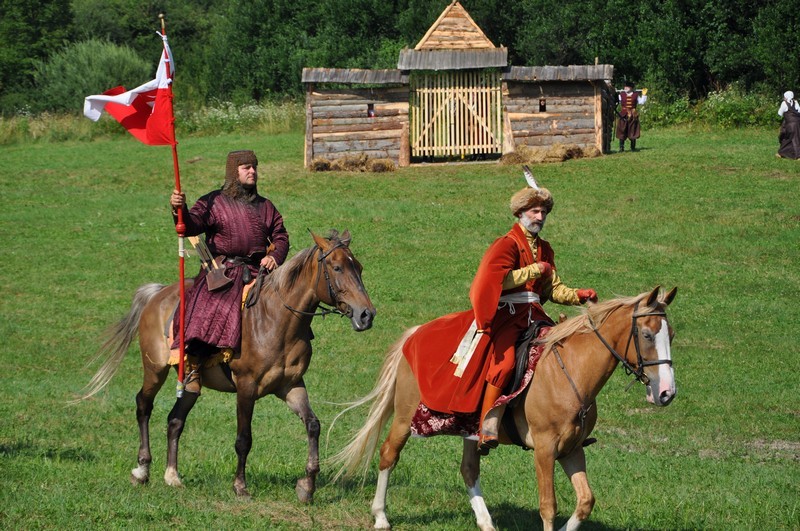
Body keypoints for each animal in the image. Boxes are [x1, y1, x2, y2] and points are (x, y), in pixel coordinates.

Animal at [79, 230, 374, 502]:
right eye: (337, 267)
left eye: (359, 267)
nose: (366, 315)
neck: (276, 320)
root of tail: (158, 294)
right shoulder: (246, 387)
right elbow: (244, 439)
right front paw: (240, 486)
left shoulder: (291, 386)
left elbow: (313, 425)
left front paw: (307, 486)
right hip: (155, 369)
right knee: (143, 405)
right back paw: (142, 470)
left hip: (191, 381)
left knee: (175, 419)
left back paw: (172, 475)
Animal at [330, 286, 676, 531]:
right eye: (647, 335)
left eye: (671, 335)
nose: (666, 393)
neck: (570, 372)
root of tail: (414, 334)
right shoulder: (545, 450)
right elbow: (548, 506)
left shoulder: (572, 449)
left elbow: (585, 501)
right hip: (404, 417)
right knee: (388, 454)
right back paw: (380, 517)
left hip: (470, 430)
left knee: (469, 470)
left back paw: (486, 522)